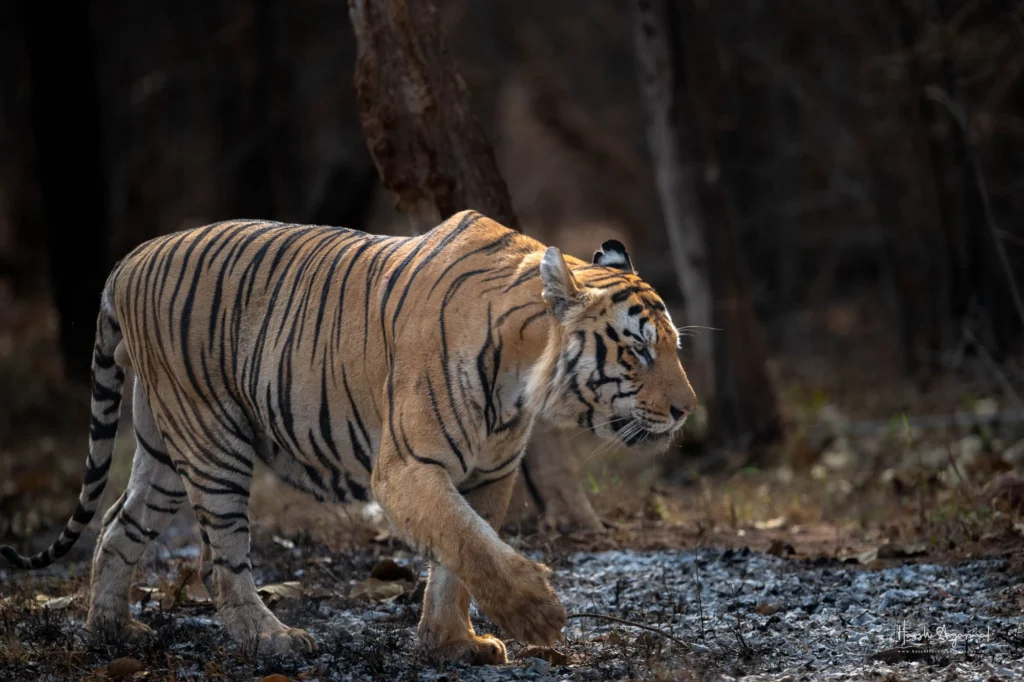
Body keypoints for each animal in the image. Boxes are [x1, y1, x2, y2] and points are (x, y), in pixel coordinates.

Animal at [1, 210, 697, 665]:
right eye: (638, 351)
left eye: (674, 347)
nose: (687, 410)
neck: (523, 381)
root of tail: (128, 262)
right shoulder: (407, 467)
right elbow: (468, 541)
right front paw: (537, 614)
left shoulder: (489, 474)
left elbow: (461, 554)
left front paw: (452, 643)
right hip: (213, 442)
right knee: (219, 561)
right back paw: (272, 640)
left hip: (164, 452)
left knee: (117, 526)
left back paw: (112, 634)